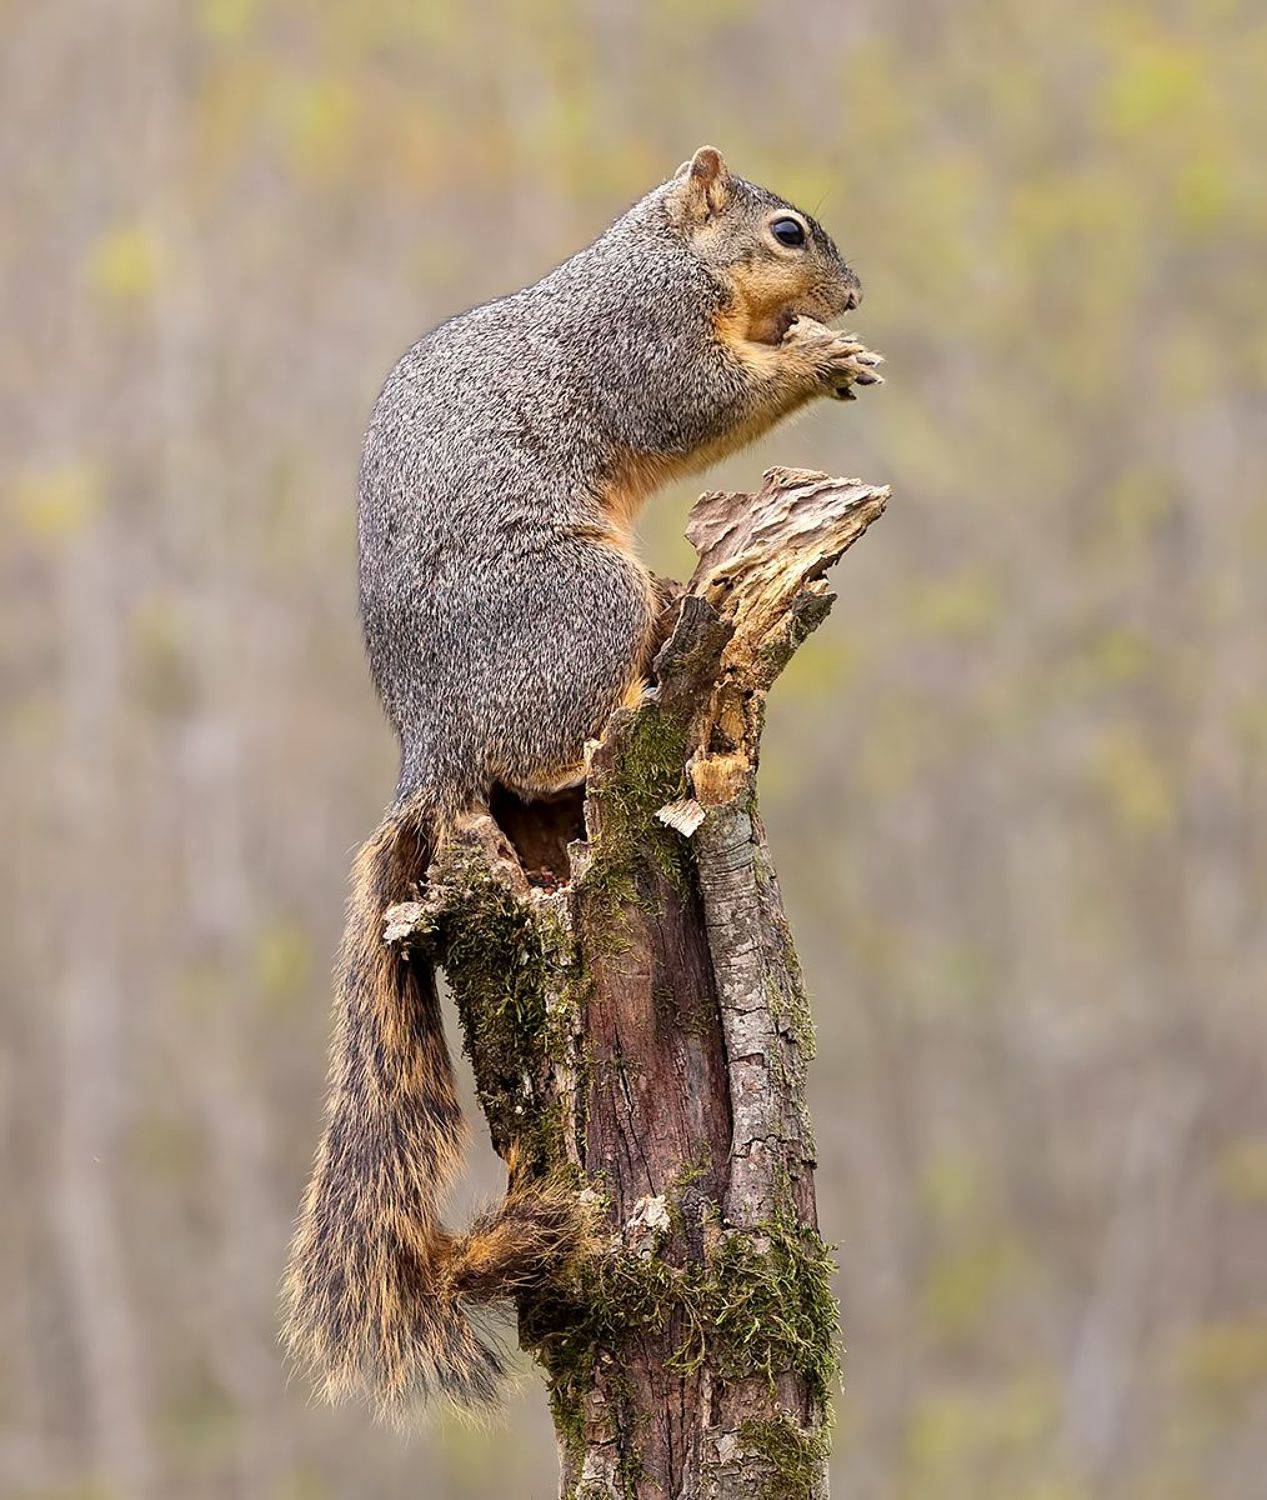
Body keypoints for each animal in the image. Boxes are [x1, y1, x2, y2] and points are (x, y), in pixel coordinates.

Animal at [282, 146, 881, 1423]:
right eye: (787, 231)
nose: (852, 296)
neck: (664, 259)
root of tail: (431, 738)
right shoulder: (641, 343)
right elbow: (696, 405)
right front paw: (816, 359)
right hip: (578, 611)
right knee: (547, 741)